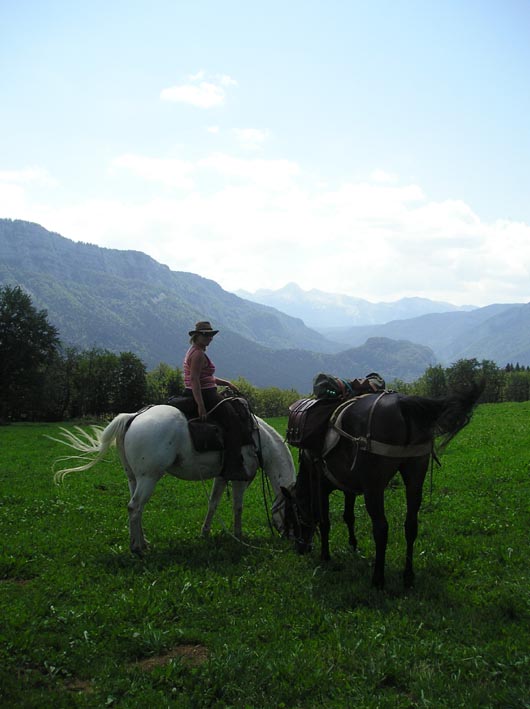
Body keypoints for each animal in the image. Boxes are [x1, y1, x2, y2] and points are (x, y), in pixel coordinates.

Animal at [51, 404, 294, 552]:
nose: (289, 536)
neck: (258, 439)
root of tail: (133, 417)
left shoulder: (222, 476)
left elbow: (213, 504)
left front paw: (205, 533)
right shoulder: (241, 478)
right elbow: (238, 507)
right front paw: (239, 535)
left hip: (134, 478)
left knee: (135, 509)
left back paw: (141, 542)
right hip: (149, 477)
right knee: (134, 507)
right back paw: (138, 549)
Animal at [282, 382, 480, 588]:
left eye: (289, 517)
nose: (300, 548)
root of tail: (402, 404)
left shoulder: (321, 486)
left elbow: (324, 521)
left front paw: (325, 555)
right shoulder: (348, 487)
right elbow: (348, 516)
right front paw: (353, 545)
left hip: (374, 487)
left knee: (381, 529)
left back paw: (378, 578)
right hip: (415, 477)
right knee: (411, 525)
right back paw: (408, 576)